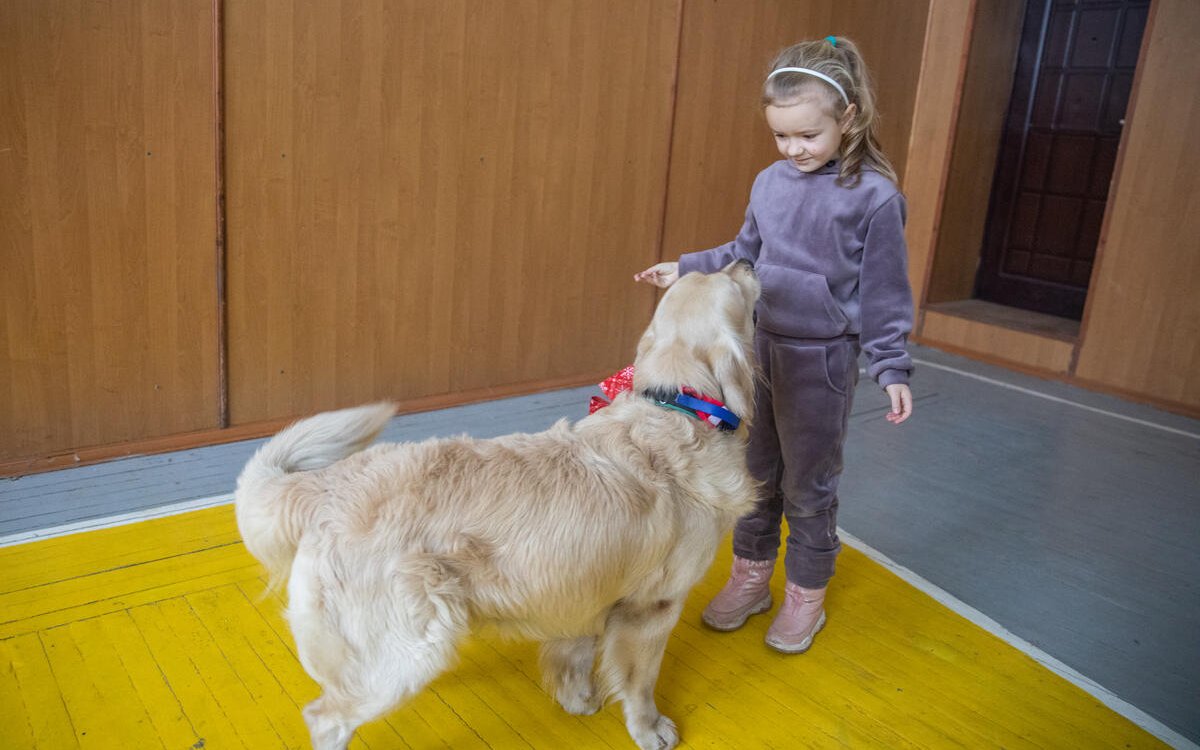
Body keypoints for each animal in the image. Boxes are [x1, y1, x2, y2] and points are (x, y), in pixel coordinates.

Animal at [235, 259, 758, 748]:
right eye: (731, 284)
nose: (747, 261)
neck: (678, 408)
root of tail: (326, 485)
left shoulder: (587, 585)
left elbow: (575, 653)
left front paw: (578, 699)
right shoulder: (652, 608)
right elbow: (641, 682)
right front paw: (650, 729)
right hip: (406, 648)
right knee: (326, 717)